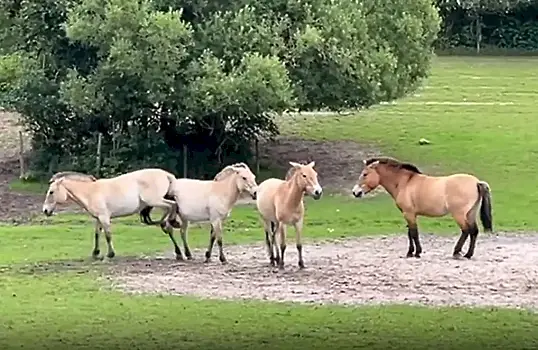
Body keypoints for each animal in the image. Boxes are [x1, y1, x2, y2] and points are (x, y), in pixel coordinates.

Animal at [350, 157, 492, 258]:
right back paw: (468, 254)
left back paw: (456, 252)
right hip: (470, 213)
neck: (405, 183)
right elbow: (410, 233)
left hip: (459, 215)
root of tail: (476, 182)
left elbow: (414, 232)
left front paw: (416, 252)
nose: (355, 192)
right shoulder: (409, 214)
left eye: (365, 174)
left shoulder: (408, 213)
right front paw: (411, 252)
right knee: (474, 232)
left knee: (466, 230)